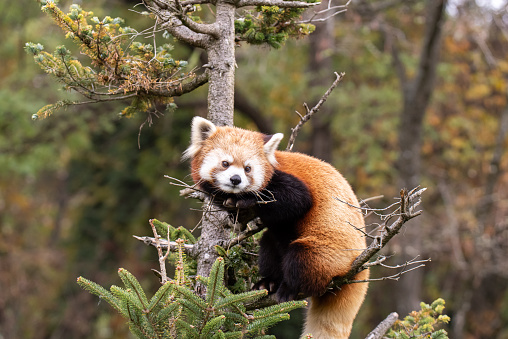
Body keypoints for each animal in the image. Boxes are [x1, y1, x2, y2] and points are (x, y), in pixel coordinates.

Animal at [185, 117, 368, 339]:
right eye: (225, 163)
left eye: (247, 168)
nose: (236, 180)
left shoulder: (287, 181)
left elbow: (297, 200)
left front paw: (246, 199)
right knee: (269, 244)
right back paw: (268, 283)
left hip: (331, 252)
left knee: (303, 258)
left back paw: (288, 288)